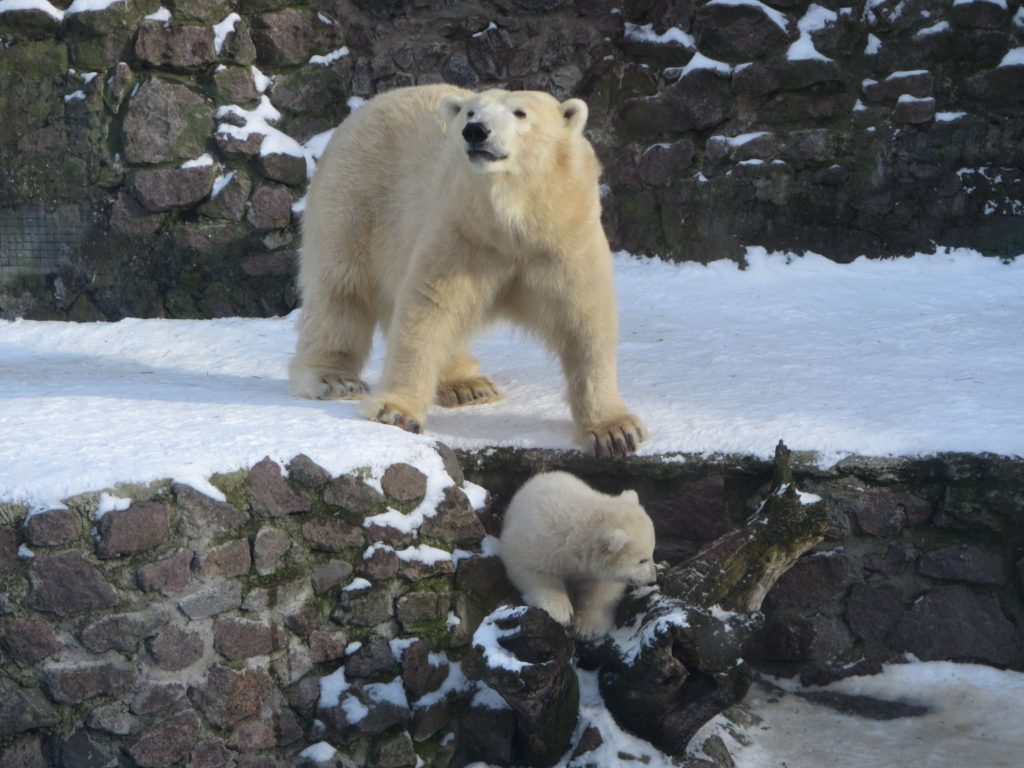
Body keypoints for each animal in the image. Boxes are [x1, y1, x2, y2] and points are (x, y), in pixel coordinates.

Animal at [288, 83, 643, 456]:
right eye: (471, 112)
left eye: (520, 112)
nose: (475, 131)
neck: (513, 222)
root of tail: (370, 104)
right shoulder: (460, 230)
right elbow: (427, 309)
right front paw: (395, 412)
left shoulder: (566, 236)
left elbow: (585, 320)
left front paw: (615, 430)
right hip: (356, 197)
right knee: (340, 291)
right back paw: (333, 378)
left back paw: (468, 385)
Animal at [499, 473, 659, 638]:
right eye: (642, 560)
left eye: (652, 552)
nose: (652, 580)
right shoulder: (538, 540)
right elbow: (532, 569)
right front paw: (561, 612)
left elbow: (603, 589)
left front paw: (586, 627)